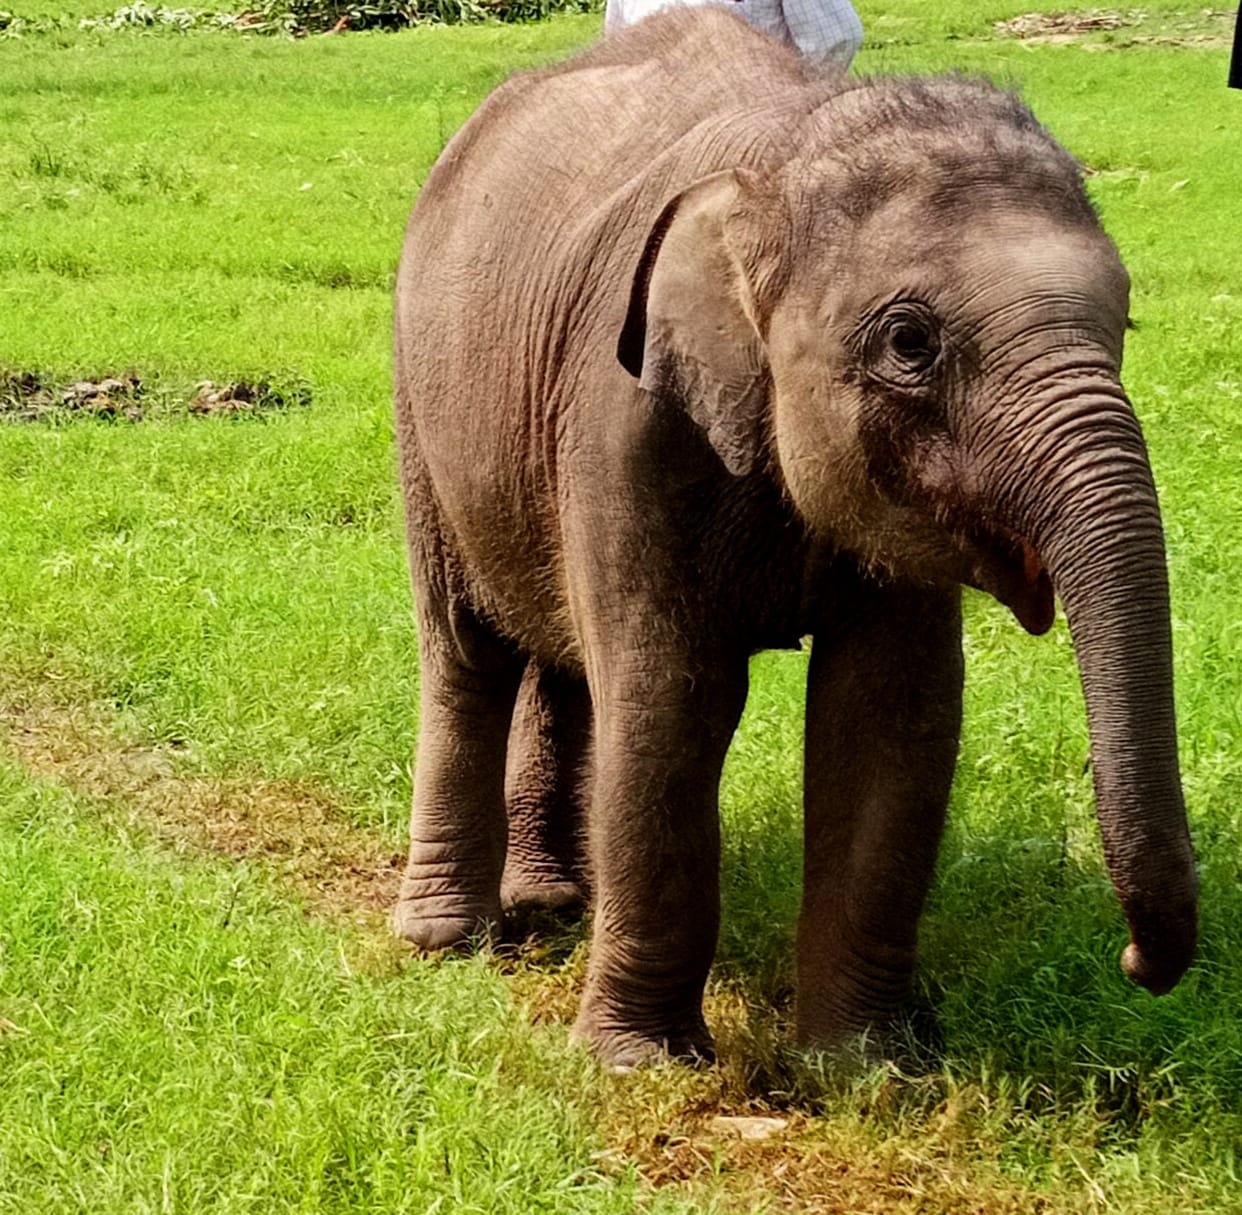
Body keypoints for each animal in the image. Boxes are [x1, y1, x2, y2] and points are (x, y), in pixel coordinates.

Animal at [390, 8, 1197, 1069]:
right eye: (910, 342)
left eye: (1127, 319)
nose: (1136, 963)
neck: (787, 152)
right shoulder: (624, 416)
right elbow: (672, 697)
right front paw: (643, 1064)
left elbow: (893, 711)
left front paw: (866, 1066)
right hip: (420, 406)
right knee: (467, 647)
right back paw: (448, 939)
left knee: (561, 658)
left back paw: (555, 903)